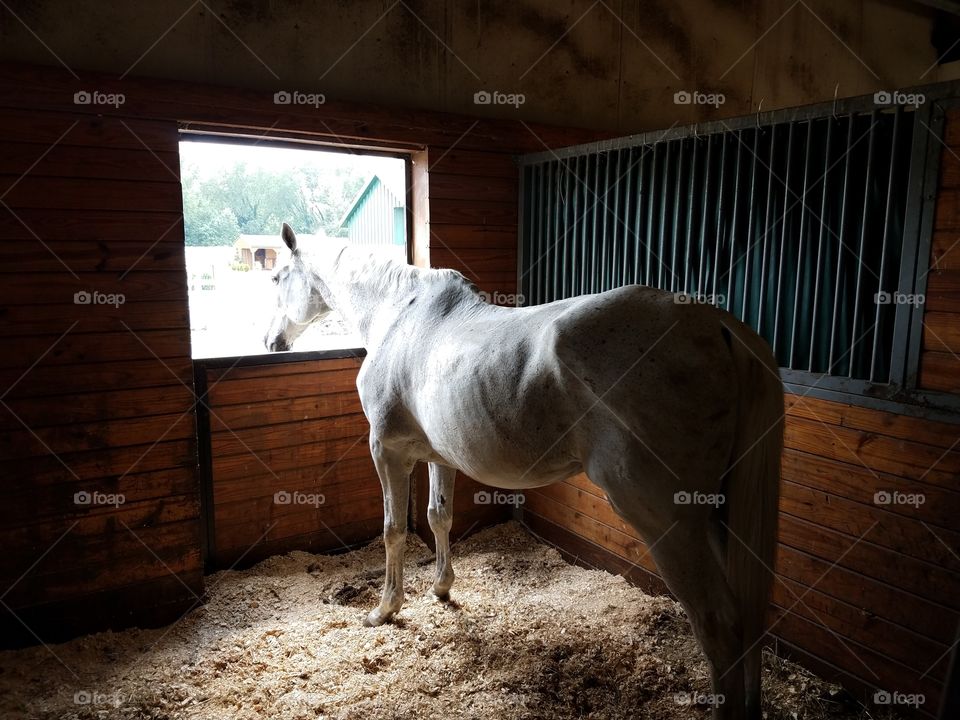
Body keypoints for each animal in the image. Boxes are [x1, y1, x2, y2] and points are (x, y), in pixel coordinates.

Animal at [265, 223, 784, 720]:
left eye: (276, 278)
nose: (271, 342)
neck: (399, 316)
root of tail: (716, 323)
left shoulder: (387, 451)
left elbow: (393, 530)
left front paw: (385, 610)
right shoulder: (438, 457)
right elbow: (438, 517)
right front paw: (441, 589)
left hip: (669, 522)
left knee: (719, 624)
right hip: (714, 517)